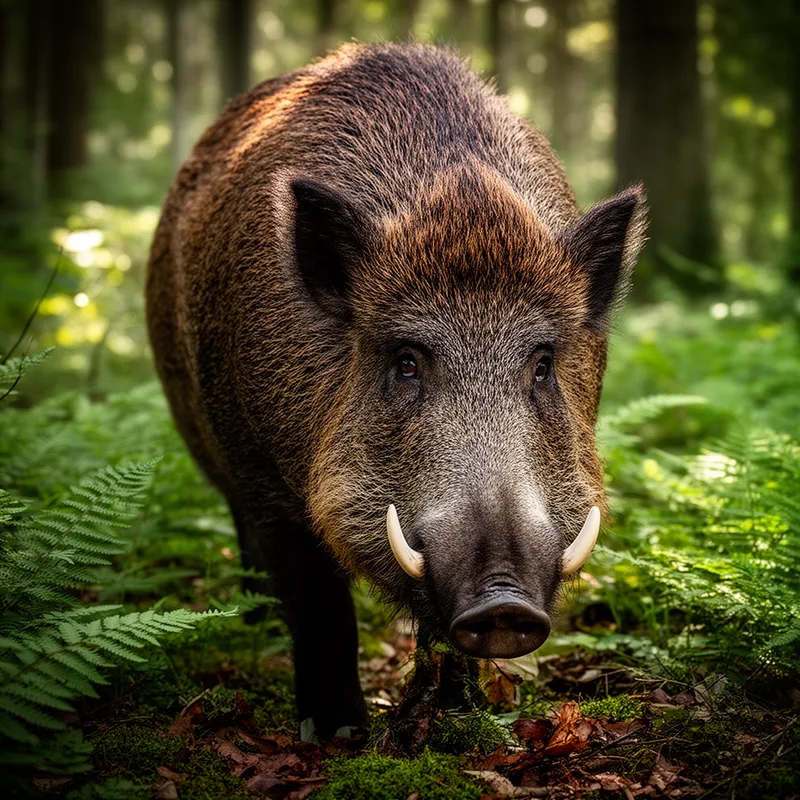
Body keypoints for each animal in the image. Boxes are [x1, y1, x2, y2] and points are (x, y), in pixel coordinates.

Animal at [146, 42, 646, 738]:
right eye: (406, 361)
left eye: (543, 363)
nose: (504, 603)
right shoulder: (261, 474)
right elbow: (320, 606)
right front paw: (340, 736)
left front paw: (456, 723)